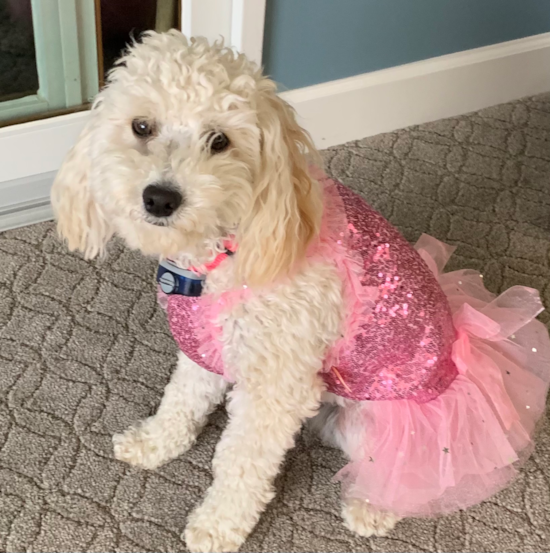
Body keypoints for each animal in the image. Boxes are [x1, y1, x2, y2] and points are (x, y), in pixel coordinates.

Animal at [51, 31, 398, 552]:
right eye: (141, 126)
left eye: (220, 141)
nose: (160, 198)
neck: (223, 253)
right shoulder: (210, 343)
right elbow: (183, 397)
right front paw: (156, 441)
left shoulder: (275, 385)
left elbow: (242, 463)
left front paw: (219, 524)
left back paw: (373, 505)